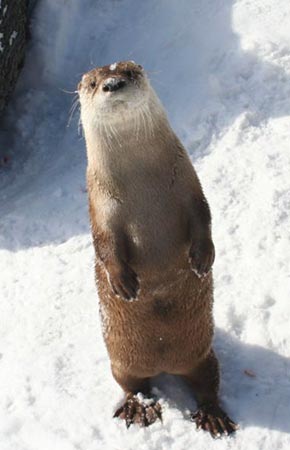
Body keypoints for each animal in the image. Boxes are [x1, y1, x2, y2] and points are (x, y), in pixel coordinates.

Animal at [77, 59, 238, 436]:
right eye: (92, 83)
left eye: (128, 72)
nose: (112, 84)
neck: (142, 184)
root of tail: (165, 364)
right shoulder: (101, 207)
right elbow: (104, 243)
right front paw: (124, 284)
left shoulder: (188, 184)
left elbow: (204, 214)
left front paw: (203, 259)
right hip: (121, 361)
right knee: (133, 384)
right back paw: (139, 408)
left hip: (202, 354)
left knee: (208, 383)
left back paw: (212, 415)